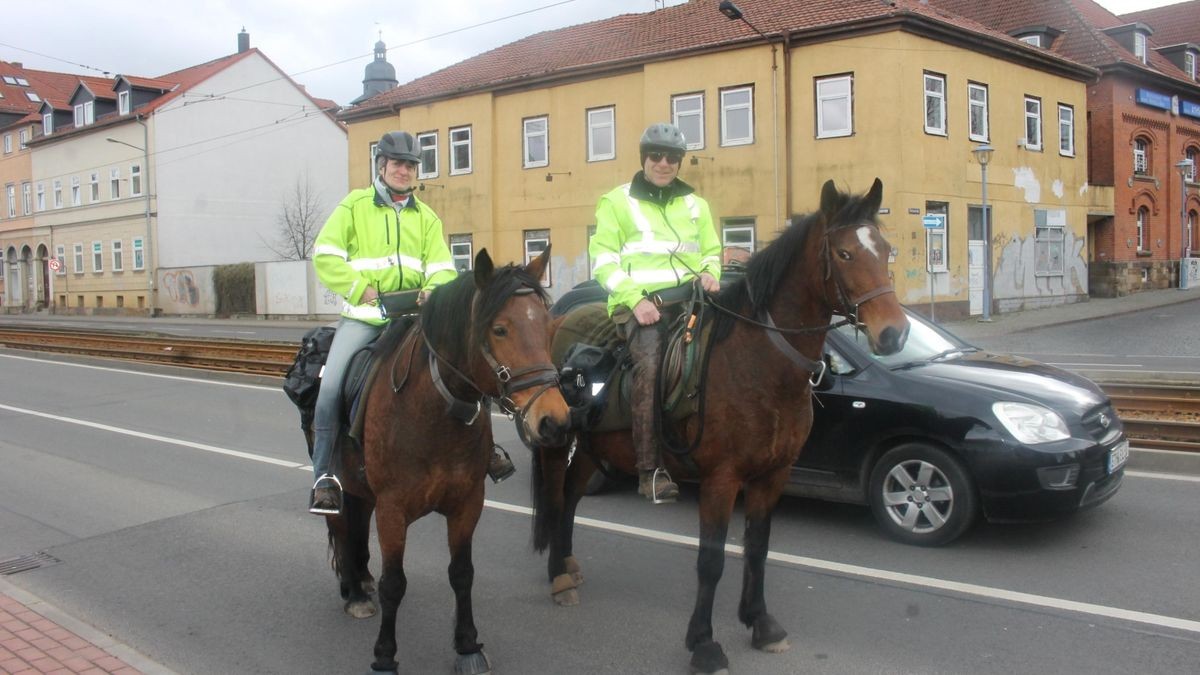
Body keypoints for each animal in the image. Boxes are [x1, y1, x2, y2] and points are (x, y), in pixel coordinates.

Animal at [302, 248, 568, 672]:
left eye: (546, 325)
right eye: (499, 329)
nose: (554, 421)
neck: (432, 411)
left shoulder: (466, 504)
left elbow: (462, 574)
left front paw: (467, 645)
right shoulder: (393, 511)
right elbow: (394, 583)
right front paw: (385, 656)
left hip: (363, 491)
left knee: (356, 530)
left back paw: (360, 581)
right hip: (341, 481)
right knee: (342, 528)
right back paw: (354, 593)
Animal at [532, 178, 907, 672]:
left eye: (885, 249)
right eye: (844, 254)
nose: (894, 334)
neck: (757, 363)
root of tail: (556, 320)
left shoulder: (772, 476)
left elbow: (757, 547)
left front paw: (760, 622)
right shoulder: (721, 480)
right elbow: (711, 562)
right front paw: (704, 644)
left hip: (596, 450)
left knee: (572, 497)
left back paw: (567, 566)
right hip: (559, 444)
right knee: (557, 499)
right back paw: (558, 577)